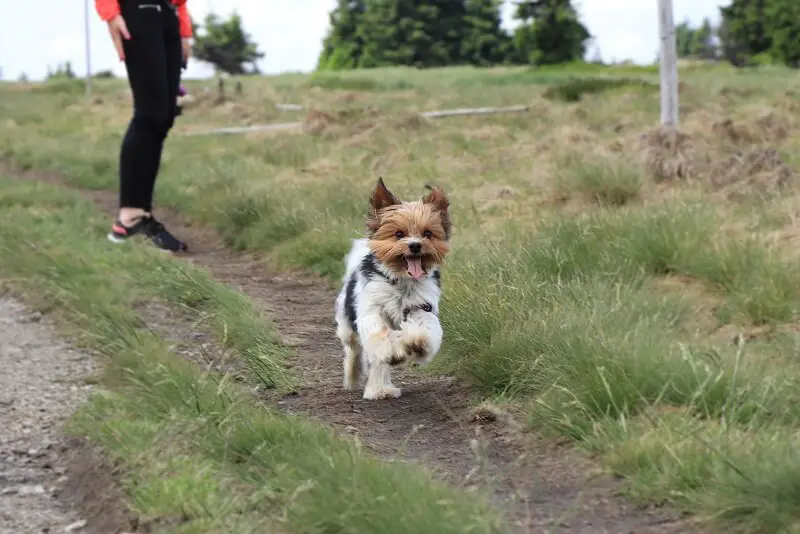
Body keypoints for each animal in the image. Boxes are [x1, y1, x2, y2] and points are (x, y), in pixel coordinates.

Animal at [334, 178, 454, 400]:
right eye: (399, 234)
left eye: (427, 234)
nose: (415, 245)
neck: (402, 281)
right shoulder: (372, 310)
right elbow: (379, 336)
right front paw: (394, 351)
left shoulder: (420, 306)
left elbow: (425, 329)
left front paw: (417, 342)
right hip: (346, 323)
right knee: (354, 348)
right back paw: (356, 376)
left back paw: (381, 388)